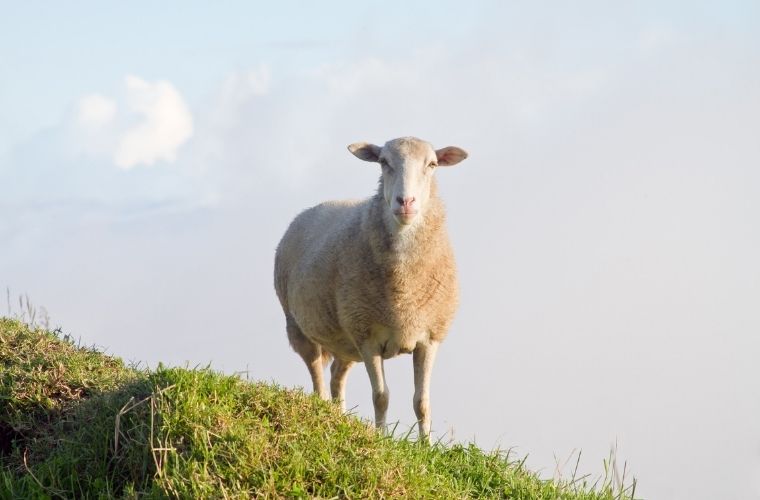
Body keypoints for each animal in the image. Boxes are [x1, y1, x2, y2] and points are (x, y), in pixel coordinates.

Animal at [276, 136, 466, 442]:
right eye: (383, 162)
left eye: (432, 164)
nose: (406, 202)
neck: (403, 293)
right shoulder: (368, 337)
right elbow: (381, 396)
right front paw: (382, 439)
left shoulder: (429, 337)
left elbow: (422, 401)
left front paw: (426, 446)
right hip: (299, 327)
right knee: (317, 374)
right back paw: (321, 411)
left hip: (345, 340)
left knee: (336, 375)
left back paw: (338, 417)